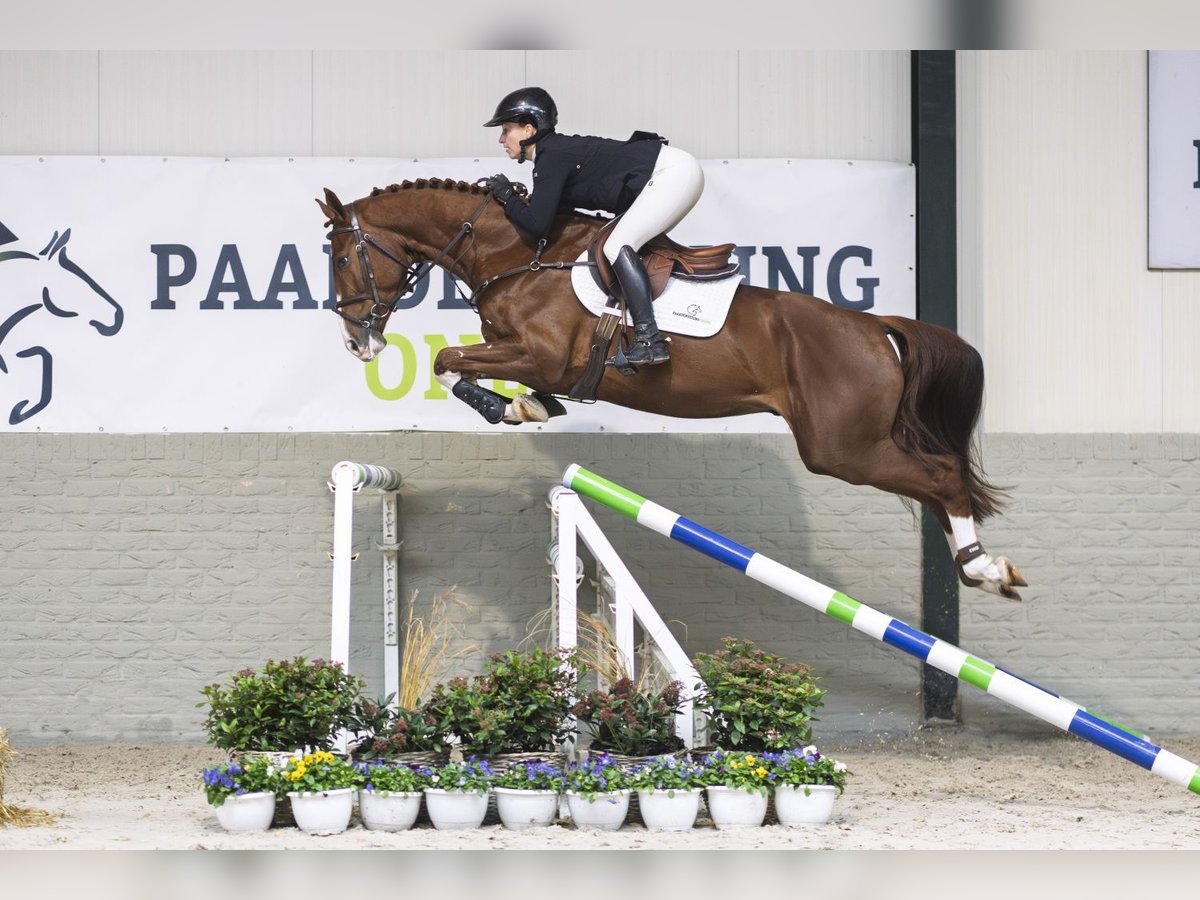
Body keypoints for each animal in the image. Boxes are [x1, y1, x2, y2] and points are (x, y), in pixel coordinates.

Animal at [316, 177, 1022, 602]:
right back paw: (981, 568)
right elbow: (468, 366)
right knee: (935, 479)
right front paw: (525, 407)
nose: (357, 345)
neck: (516, 254)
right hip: (852, 444)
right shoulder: (531, 358)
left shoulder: (542, 355)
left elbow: (447, 361)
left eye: (344, 258)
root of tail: (877, 327)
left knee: (940, 475)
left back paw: (985, 567)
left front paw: (504, 406)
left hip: (840, 447)